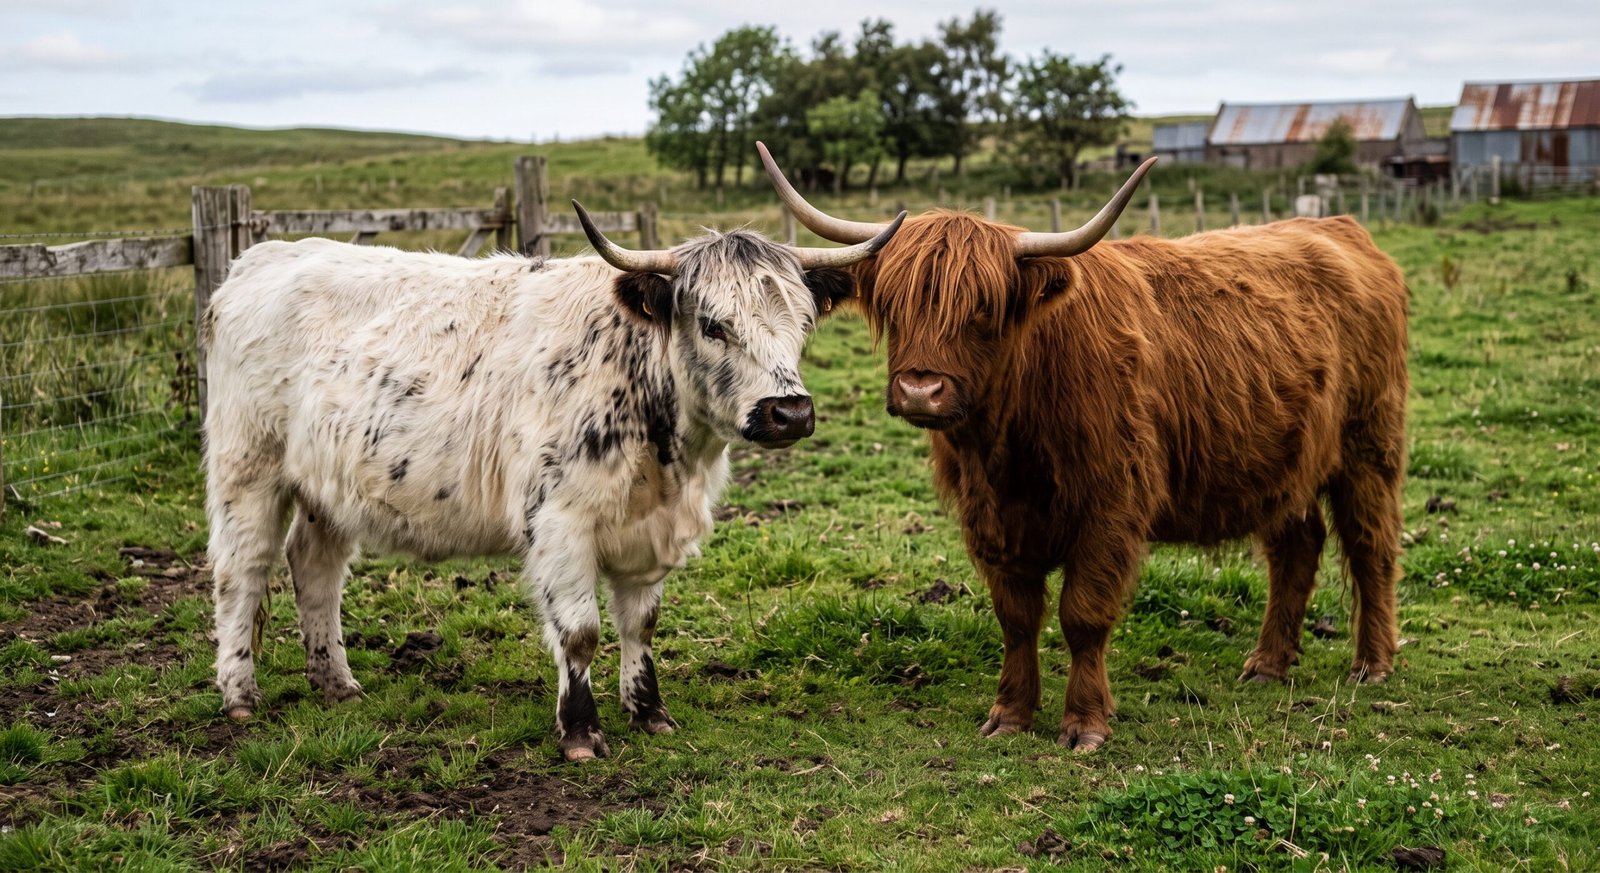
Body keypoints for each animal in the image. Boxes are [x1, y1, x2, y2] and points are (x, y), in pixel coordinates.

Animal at [202, 202, 905, 760]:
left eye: (804, 323)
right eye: (712, 324)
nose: (790, 412)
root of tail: (258, 258)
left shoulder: (650, 532)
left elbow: (640, 625)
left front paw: (649, 713)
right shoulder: (561, 524)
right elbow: (581, 632)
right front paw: (580, 733)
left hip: (327, 486)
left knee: (314, 567)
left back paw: (337, 685)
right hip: (248, 468)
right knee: (243, 572)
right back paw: (240, 695)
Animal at [758, 142, 1408, 752]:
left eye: (984, 308)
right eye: (894, 305)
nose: (921, 390)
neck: (1008, 447)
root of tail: (1339, 228)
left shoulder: (1111, 506)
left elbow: (1083, 615)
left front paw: (1086, 723)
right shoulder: (989, 517)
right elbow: (1017, 618)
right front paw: (1011, 714)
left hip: (1370, 444)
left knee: (1370, 544)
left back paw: (1373, 665)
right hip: (1284, 461)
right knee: (1297, 546)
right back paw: (1269, 664)